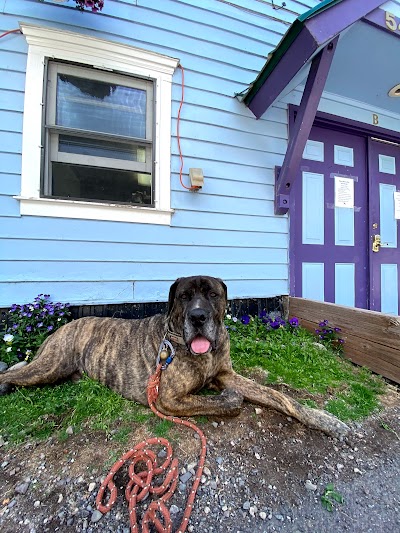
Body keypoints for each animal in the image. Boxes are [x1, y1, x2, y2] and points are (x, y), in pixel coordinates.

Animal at [0, 274, 350, 436]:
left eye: (212, 294)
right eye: (183, 296)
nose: (198, 316)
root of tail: (61, 327)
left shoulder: (227, 374)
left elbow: (280, 397)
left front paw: (327, 421)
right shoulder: (167, 397)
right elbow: (221, 401)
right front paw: (227, 399)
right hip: (49, 365)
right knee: (11, 372)